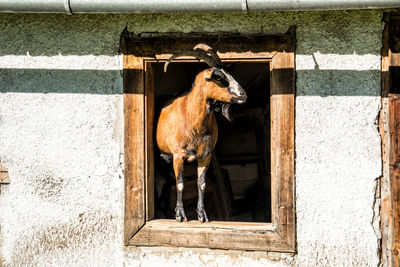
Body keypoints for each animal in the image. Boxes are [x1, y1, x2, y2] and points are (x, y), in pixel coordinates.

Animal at [156, 45, 247, 223]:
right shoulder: (178, 155)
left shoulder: (206, 155)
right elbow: (180, 183)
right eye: (219, 77)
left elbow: (202, 183)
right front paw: (180, 215)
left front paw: (202, 214)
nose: (243, 95)